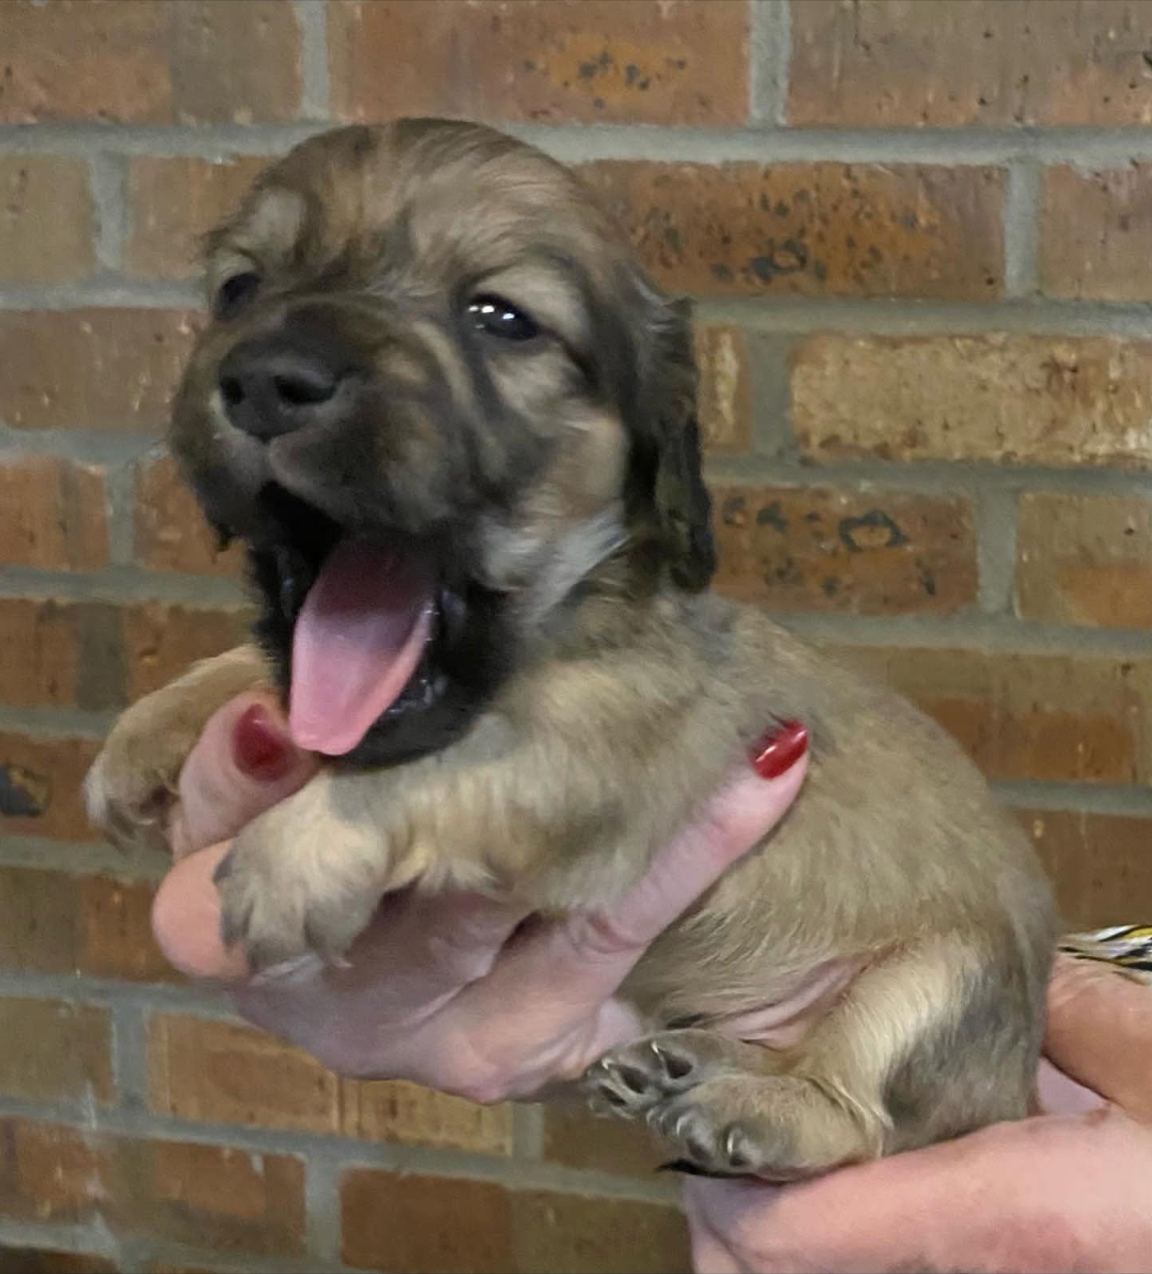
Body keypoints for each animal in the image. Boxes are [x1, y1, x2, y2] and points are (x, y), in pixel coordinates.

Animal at [85, 121, 1055, 1182]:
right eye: (238, 289)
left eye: (499, 318)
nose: (266, 380)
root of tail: (1014, 1091)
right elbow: (263, 670)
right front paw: (142, 734)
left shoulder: (586, 754)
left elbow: (430, 771)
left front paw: (293, 854)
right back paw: (696, 1062)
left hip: (938, 981)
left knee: (861, 1115)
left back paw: (755, 1109)